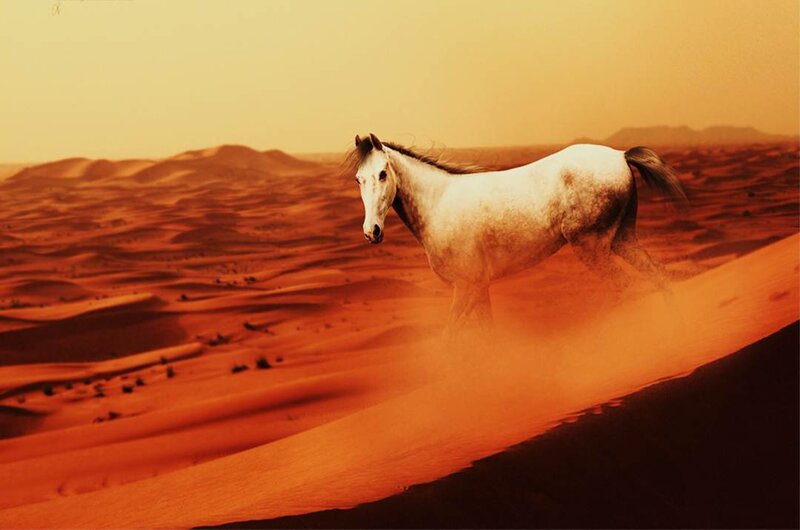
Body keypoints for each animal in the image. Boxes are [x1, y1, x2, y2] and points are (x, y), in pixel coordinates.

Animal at [348, 133, 686, 330]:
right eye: (358, 179)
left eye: (382, 173)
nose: (371, 232)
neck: (438, 204)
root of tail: (620, 155)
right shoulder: (479, 288)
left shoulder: (466, 288)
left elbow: (449, 340)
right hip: (622, 239)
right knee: (659, 275)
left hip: (591, 246)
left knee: (624, 286)